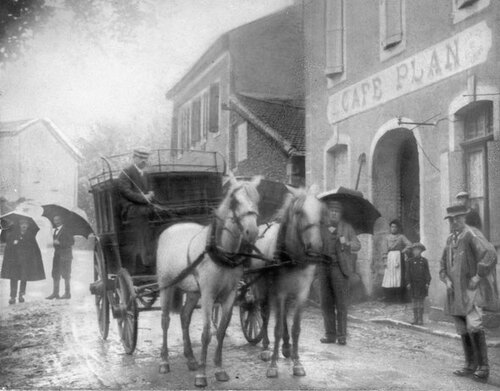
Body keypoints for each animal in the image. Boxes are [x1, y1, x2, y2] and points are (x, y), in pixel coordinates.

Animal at [156, 175, 262, 388]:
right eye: (234, 200)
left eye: (257, 199)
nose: (252, 232)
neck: (221, 252)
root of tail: (170, 229)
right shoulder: (208, 294)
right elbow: (206, 334)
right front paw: (202, 375)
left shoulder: (229, 294)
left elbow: (220, 330)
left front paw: (219, 369)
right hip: (167, 287)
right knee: (165, 321)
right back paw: (164, 362)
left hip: (192, 292)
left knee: (185, 317)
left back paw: (190, 359)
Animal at [252, 187, 326, 380]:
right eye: (299, 212)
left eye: (320, 212)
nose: (316, 247)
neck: (292, 259)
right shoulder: (279, 292)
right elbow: (276, 328)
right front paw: (273, 366)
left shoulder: (301, 294)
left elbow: (296, 328)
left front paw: (297, 363)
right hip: (262, 288)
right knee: (264, 314)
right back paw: (265, 348)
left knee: (283, 315)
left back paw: (286, 347)